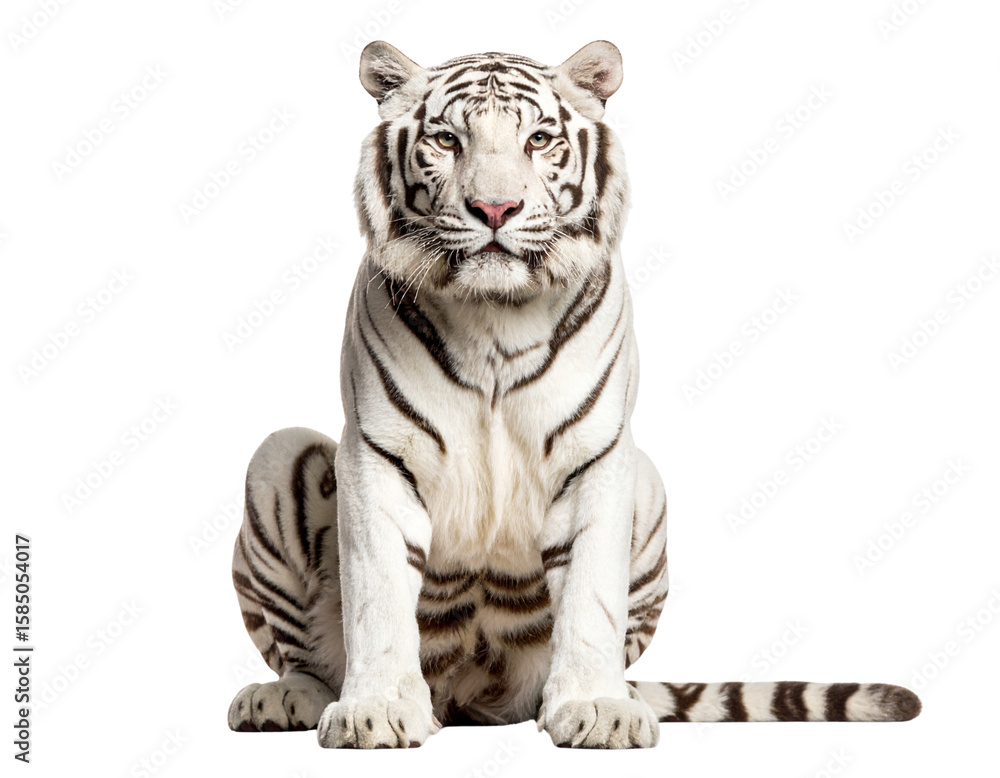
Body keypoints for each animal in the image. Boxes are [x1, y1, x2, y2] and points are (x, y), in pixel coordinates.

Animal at [226, 40, 921, 749]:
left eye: (538, 140)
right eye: (447, 140)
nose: (495, 210)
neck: (495, 317)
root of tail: (467, 697)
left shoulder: (597, 455)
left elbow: (591, 596)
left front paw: (598, 709)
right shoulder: (378, 453)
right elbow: (377, 593)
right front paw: (377, 710)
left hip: (648, 482)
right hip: (277, 455)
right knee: (302, 655)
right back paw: (283, 697)